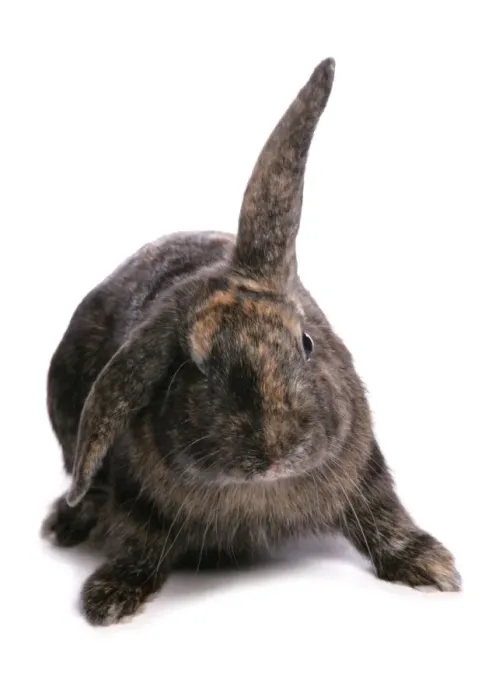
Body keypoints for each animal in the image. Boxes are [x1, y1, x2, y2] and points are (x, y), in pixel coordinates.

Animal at [41, 57, 461, 626]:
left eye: (306, 342)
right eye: (191, 366)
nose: (275, 450)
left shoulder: (366, 477)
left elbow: (385, 519)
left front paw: (431, 566)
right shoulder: (135, 504)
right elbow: (139, 546)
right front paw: (107, 598)